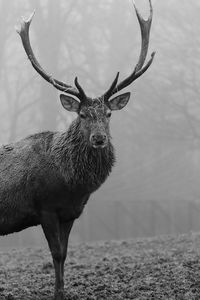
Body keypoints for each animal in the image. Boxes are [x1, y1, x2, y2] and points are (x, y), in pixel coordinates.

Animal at [0, 0, 155, 300]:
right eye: (82, 114)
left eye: (108, 114)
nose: (99, 138)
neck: (71, 183)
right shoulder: (45, 207)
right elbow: (55, 253)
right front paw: (57, 293)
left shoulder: (70, 212)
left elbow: (64, 254)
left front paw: (62, 290)